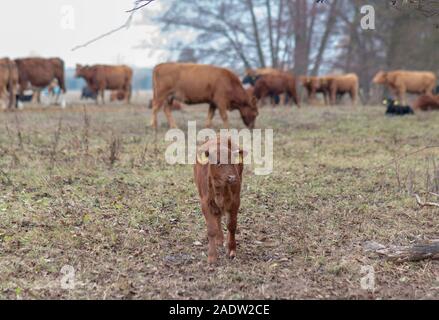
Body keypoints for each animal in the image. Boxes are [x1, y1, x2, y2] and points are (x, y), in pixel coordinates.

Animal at [193, 136, 246, 264]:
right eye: (217, 162)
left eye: (233, 161)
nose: (232, 177)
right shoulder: (205, 203)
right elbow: (211, 229)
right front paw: (212, 256)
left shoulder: (235, 200)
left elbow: (231, 225)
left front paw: (231, 250)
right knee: (217, 216)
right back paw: (219, 239)